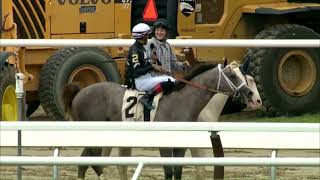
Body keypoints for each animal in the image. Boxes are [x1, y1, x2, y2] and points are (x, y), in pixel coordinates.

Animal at [61, 63, 254, 179]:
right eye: (233, 76)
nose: (250, 93)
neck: (182, 101)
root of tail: (79, 92)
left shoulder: (181, 145)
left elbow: (177, 172)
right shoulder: (165, 144)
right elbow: (168, 172)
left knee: (84, 162)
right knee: (93, 162)